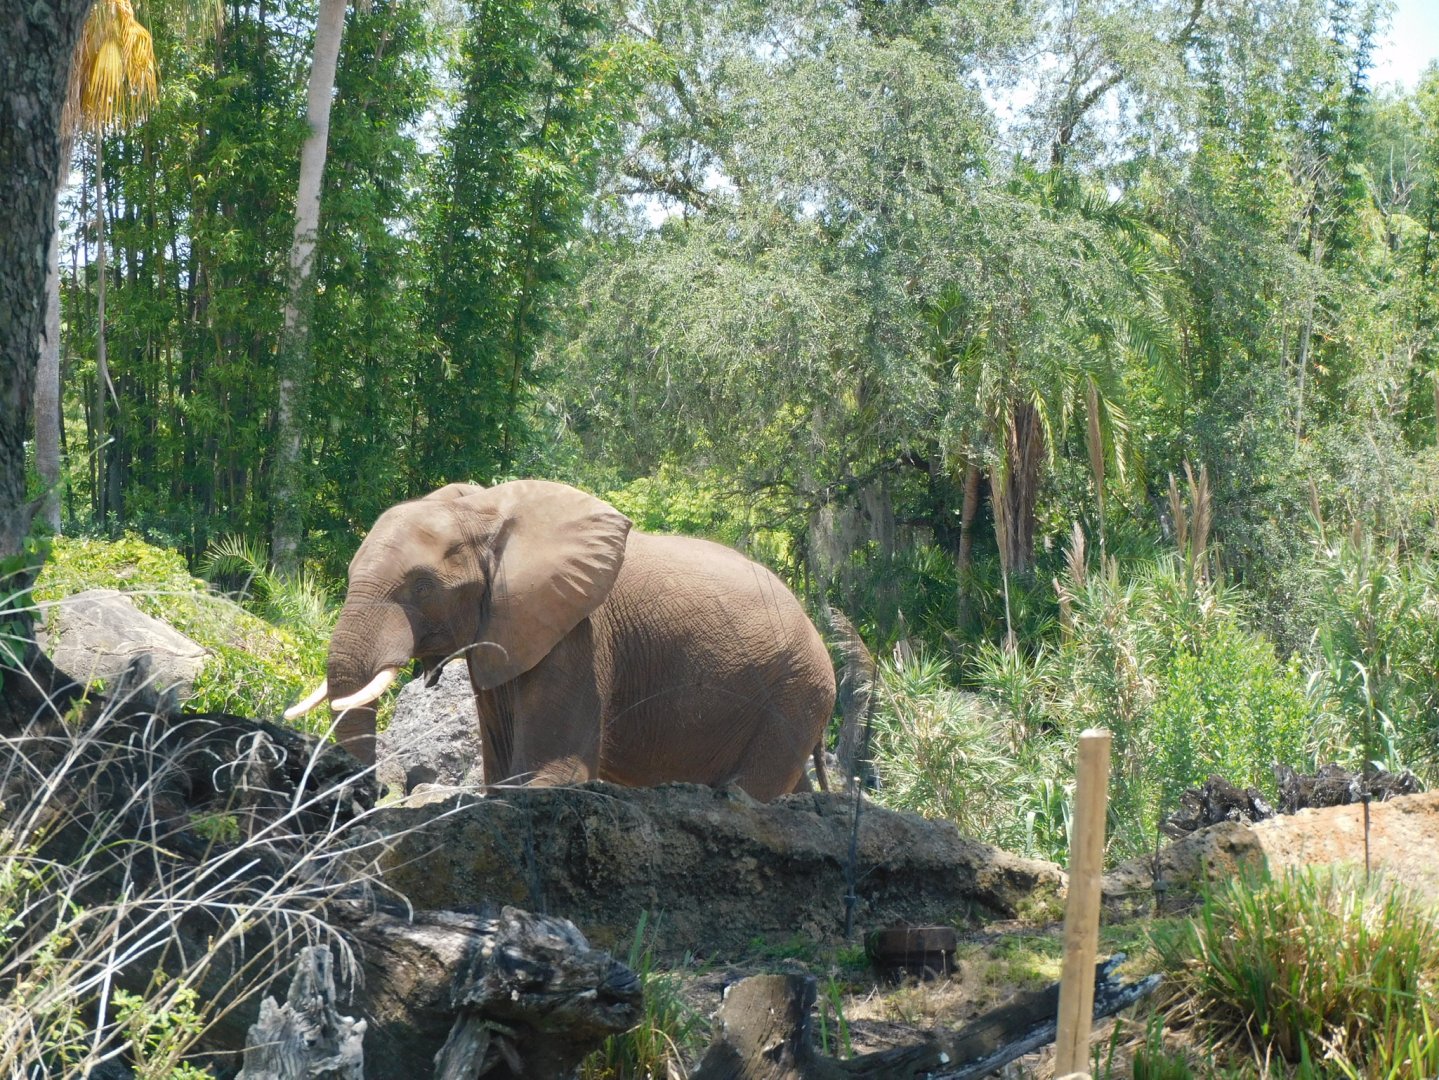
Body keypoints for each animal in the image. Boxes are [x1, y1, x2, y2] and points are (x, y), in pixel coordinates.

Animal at [286, 479, 835, 801]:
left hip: (795, 693)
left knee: (750, 791)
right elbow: (502, 775)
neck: (485, 510)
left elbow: (550, 776)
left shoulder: (578, 634)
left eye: (422, 586)